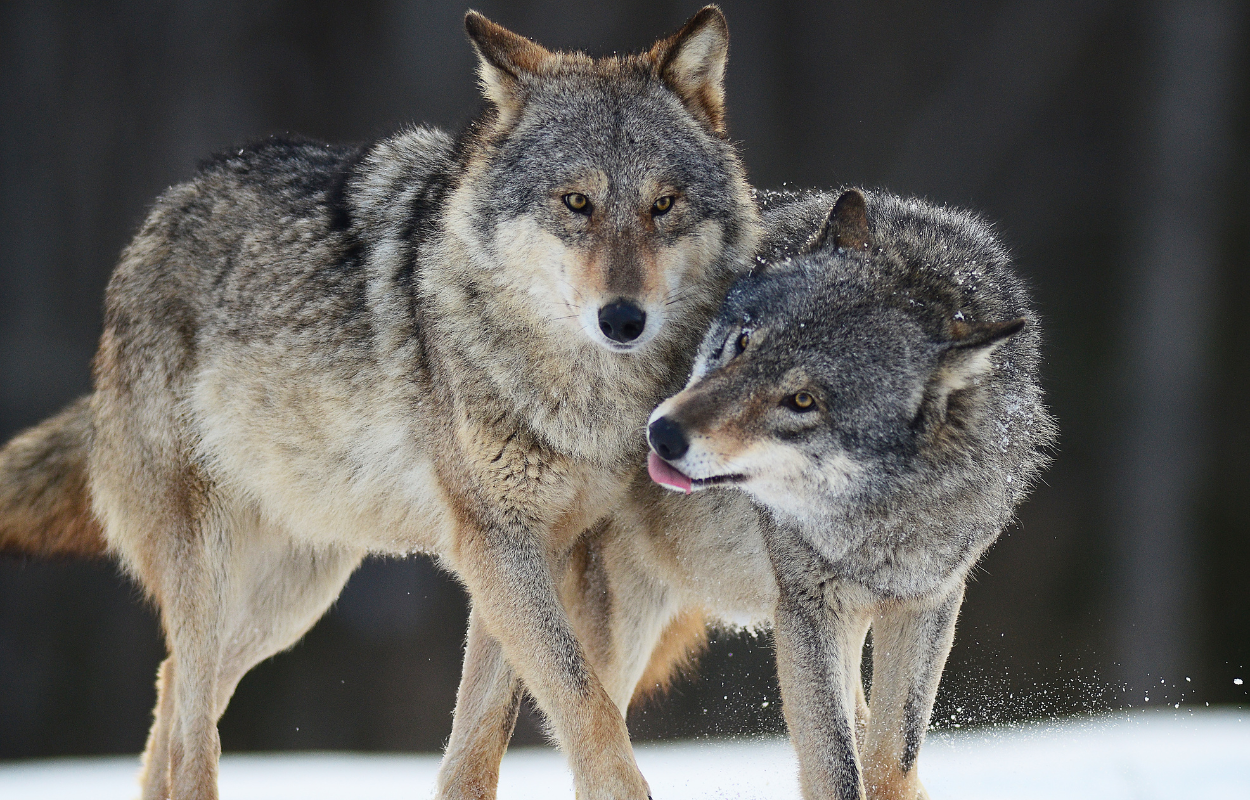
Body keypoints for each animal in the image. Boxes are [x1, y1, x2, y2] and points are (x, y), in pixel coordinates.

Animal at [0, 7, 755, 800]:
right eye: (576, 203)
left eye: (663, 204)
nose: (624, 319)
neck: (580, 396)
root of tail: (158, 217)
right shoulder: (498, 544)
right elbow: (588, 707)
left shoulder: (528, 555)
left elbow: (479, 742)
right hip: (211, 570)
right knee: (192, 730)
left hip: (291, 599)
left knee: (174, 684)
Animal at [640, 190, 1060, 795]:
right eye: (742, 342)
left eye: (803, 401)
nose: (663, 433)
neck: (887, 517)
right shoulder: (807, 610)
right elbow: (838, 767)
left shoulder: (928, 600)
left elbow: (891, 754)